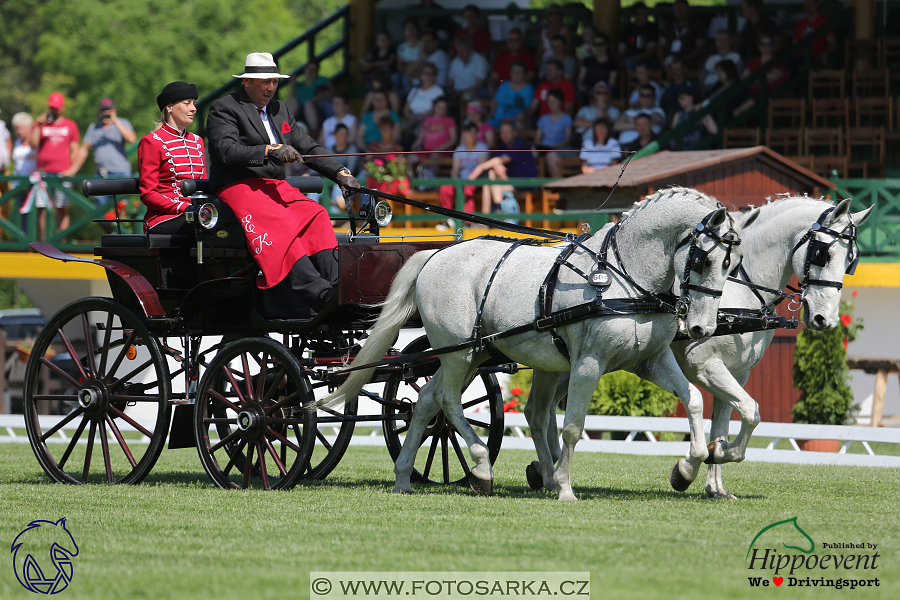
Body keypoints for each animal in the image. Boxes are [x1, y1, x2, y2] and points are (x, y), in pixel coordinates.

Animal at [320, 188, 756, 502]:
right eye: (702, 260)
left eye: (732, 265)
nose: (702, 327)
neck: (626, 276)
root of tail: (436, 253)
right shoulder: (588, 364)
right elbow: (573, 427)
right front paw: (563, 486)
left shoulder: (650, 360)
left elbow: (693, 400)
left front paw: (687, 469)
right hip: (459, 352)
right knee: (447, 401)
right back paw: (481, 466)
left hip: (470, 353)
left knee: (428, 400)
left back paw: (404, 478)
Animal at [528, 196, 872, 496]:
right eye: (823, 254)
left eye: (851, 261)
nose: (824, 318)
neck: (738, 293)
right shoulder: (705, 367)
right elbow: (750, 411)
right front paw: (691, 467)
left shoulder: (738, 372)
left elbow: (725, 423)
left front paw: (715, 479)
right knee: (541, 410)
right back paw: (550, 472)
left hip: (564, 364)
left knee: (543, 410)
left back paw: (546, 469)